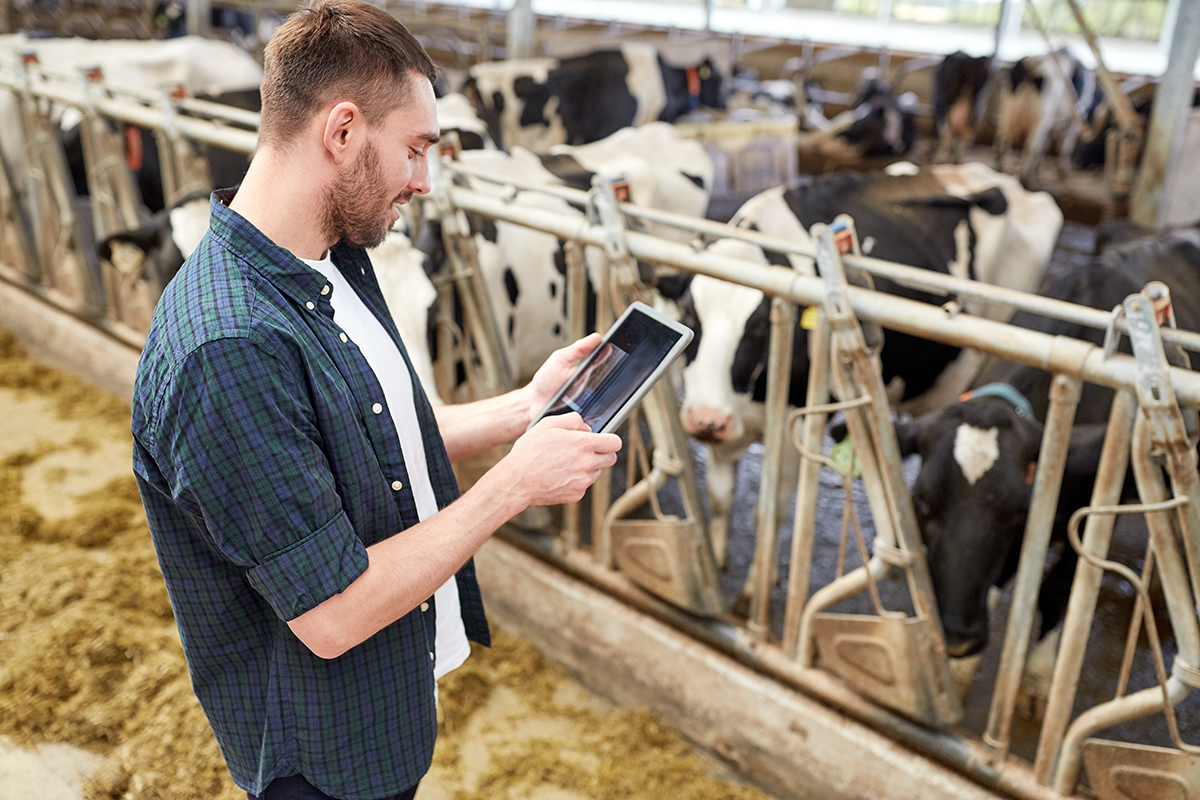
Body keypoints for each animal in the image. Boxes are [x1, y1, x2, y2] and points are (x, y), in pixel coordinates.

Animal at [662, 164, 1065, 575]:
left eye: (760, 326)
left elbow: (769, 512)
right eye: (690, 314)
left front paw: (757, 583)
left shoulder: (797, 423)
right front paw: (717, 561)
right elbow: (719, 497)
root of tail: (993, 176)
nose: (706, 421)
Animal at [888, 225, 1200, 705]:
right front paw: (959, 674)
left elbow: (1057, 589)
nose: (958, 637)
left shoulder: (1095, 510)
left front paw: (1036, 678)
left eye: (1019, 510)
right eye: (920, 502)